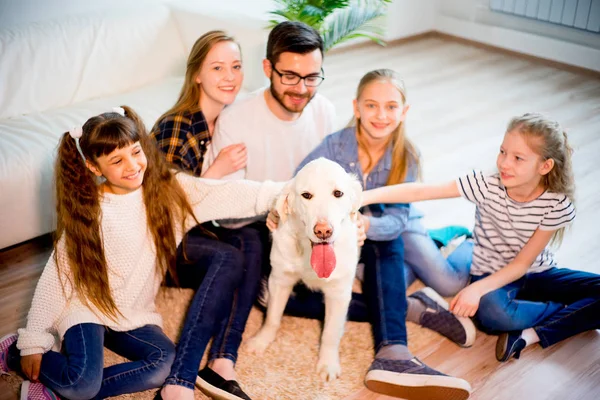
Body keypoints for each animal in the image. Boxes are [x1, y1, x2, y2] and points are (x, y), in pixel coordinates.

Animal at [247, 157, 364, 382]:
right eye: (306, 195)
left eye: (338, 193)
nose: (323, 231)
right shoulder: (279, 280)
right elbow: (272, 317)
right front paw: (262, 340)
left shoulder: (338, 293)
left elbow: (330, 332)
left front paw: (327, 363)